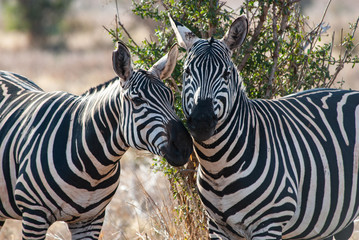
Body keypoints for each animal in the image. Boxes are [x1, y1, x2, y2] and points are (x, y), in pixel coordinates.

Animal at [0, 41, 193, 240]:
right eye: (137, 101)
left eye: (171, 98)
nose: (184, 147)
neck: (93, 169)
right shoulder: (34, 214)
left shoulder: (91, 219)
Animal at [170, 15, 359, 240]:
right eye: (187, 72)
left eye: (226, 74)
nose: (201, 122)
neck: (217, 168)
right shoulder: (216, 226)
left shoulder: (269, 223)